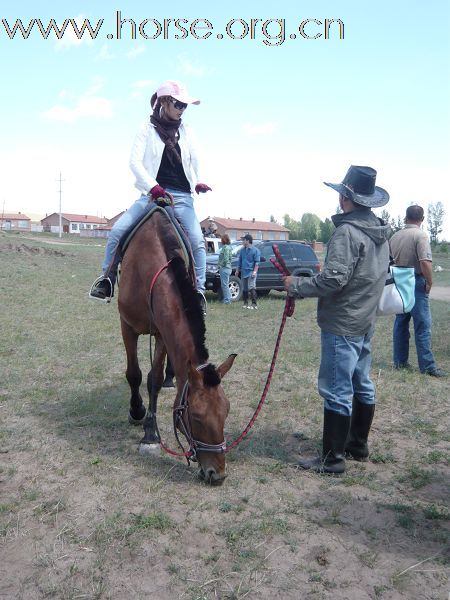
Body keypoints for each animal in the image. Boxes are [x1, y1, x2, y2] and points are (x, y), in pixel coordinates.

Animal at [118, 209, 236, 486]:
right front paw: (138, 415)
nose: (218, 474)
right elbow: (134, 374)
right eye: (196, 417)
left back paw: (171, 378)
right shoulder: (127, 326)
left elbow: (154, 378)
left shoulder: (162, 333)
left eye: (226, 411)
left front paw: (150, 433)